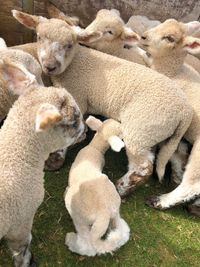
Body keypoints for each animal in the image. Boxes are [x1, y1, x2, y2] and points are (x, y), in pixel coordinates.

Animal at [64, 115, 130, 258]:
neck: (95, 148)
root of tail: (104, 213)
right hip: (116, 213)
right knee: (120, 233)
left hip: (79, 217)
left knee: (87, 244)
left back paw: (71, 242)